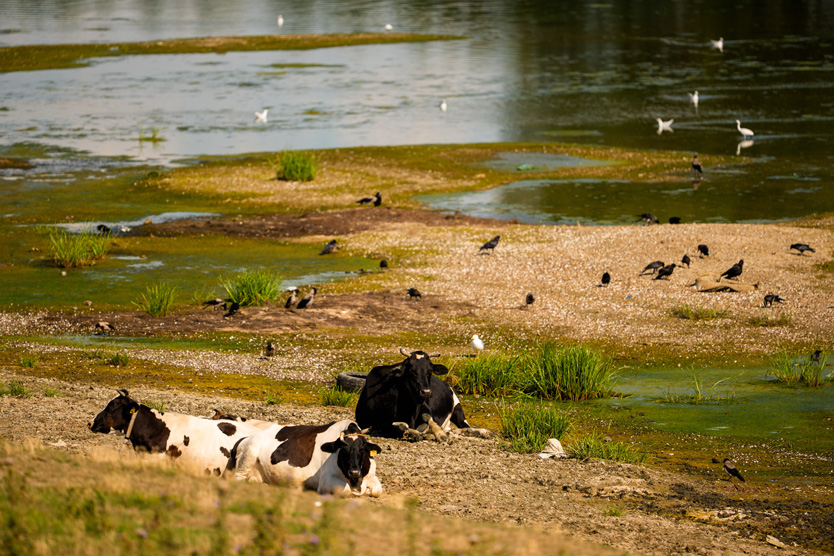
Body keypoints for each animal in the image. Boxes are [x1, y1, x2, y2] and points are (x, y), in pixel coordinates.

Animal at [230, 419, 382, 497]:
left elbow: (377, 490)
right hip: (249, 454)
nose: (354, 472)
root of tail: (246, 438)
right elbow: (346, 491)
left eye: (363, 449)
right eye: (343, 449)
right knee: (237, 479)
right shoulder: (326, 479)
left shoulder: (371, 476)